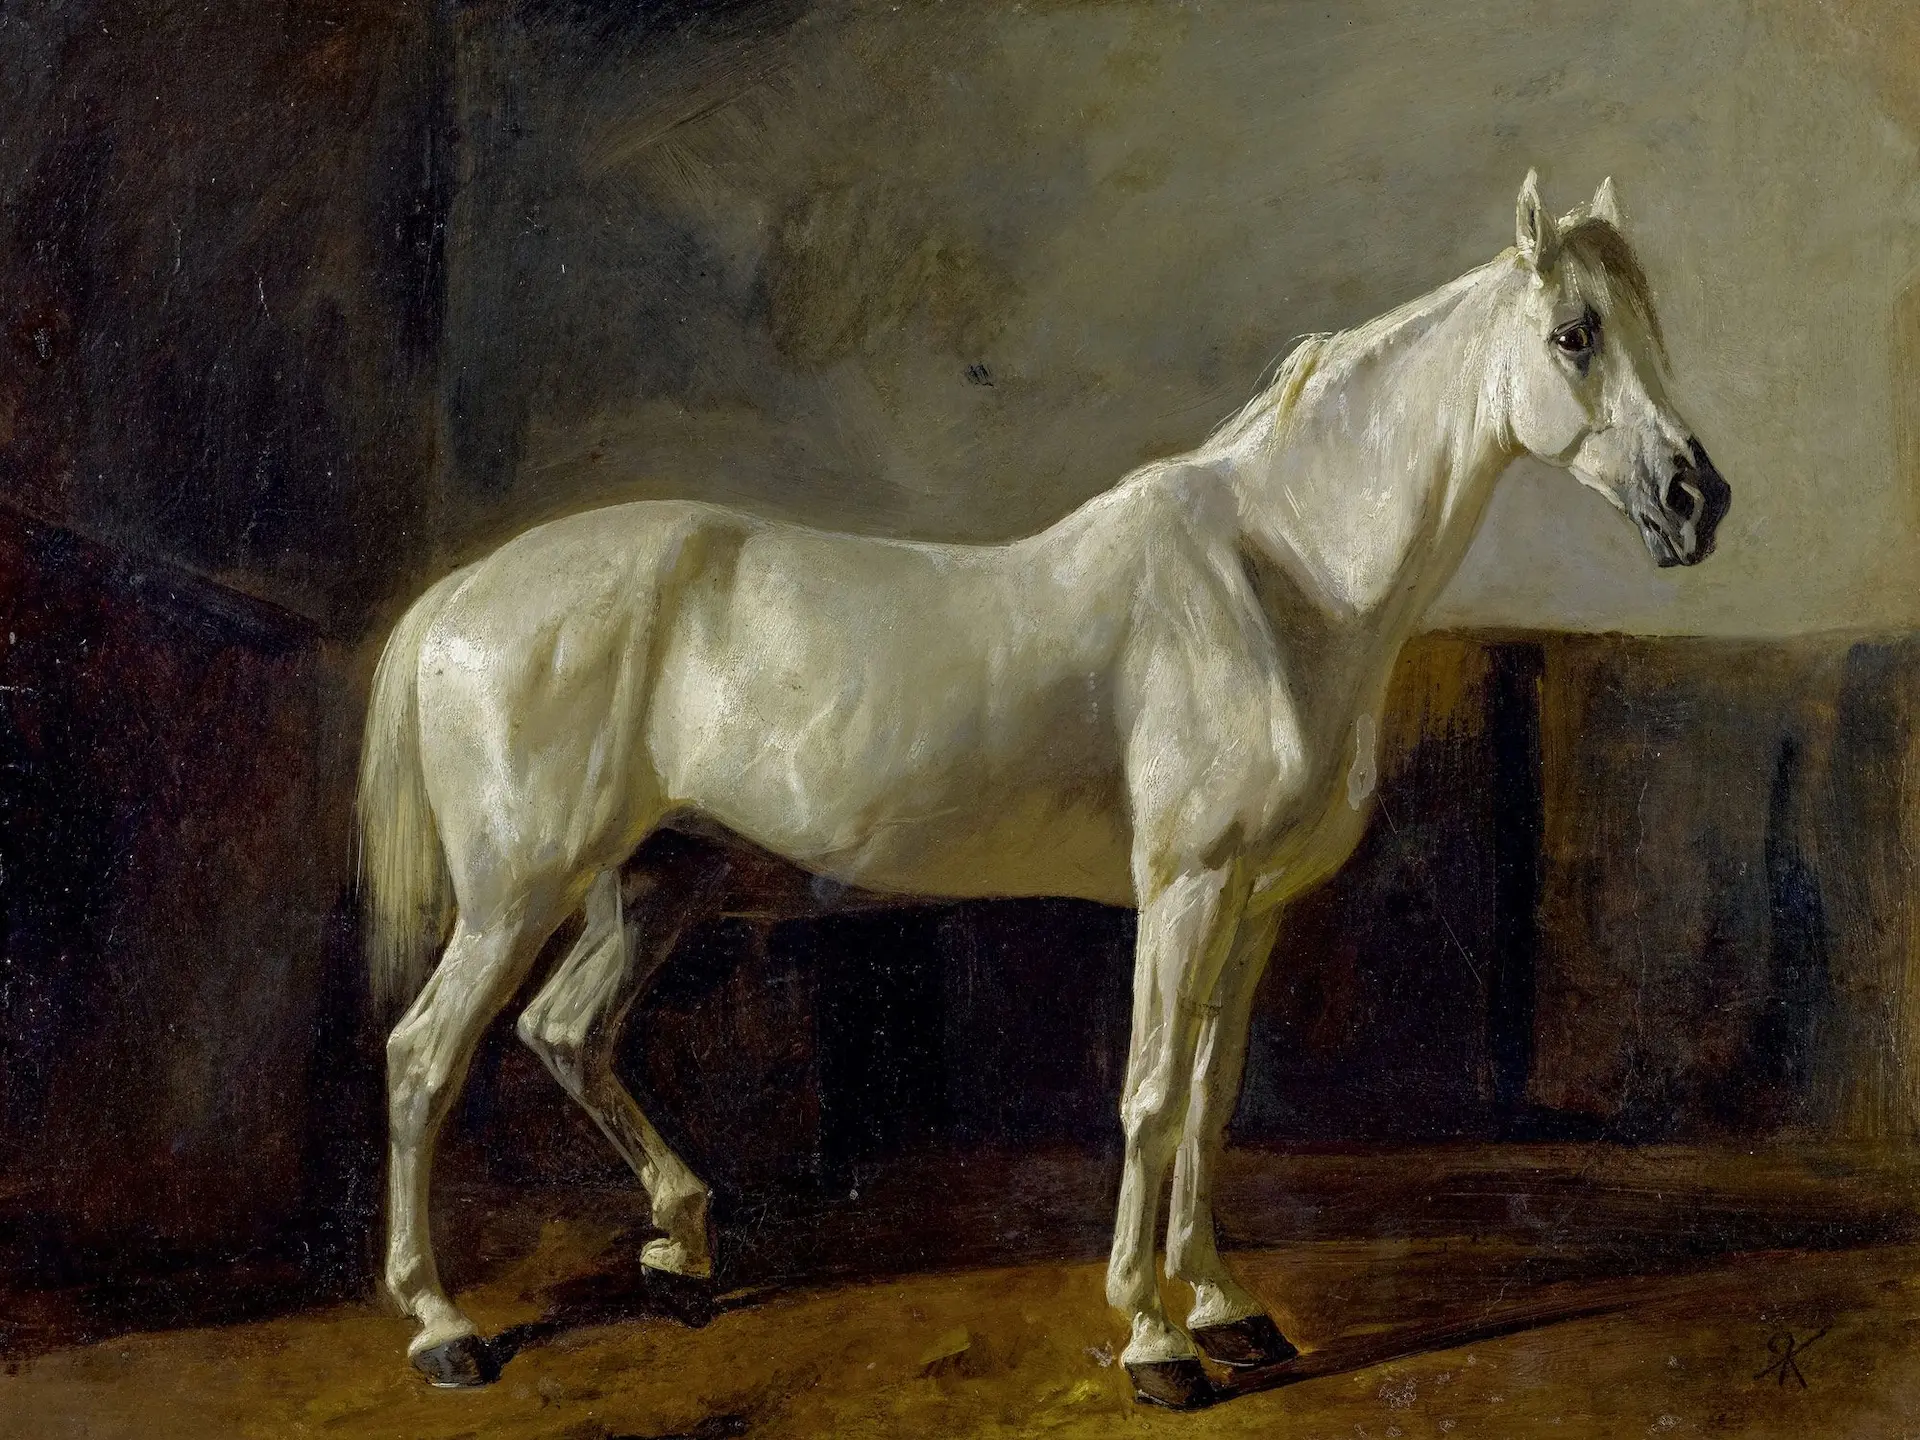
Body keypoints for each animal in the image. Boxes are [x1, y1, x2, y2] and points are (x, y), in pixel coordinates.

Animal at [357, 171, 1729, 1407]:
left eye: (1655, 326)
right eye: (1575, 334)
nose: (1696, 499)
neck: (1276, 583)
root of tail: (460, 595)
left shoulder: (1256, 907)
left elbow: (1213, 1102)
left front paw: (1228, 1308)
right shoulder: (1186, 889)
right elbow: (1152, 1096)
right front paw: (1156, 1341)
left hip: (658, 878)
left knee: (565, 1032)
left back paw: (680, 1251)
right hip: (519, 892)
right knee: (425, 1057)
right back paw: (441, 1327)